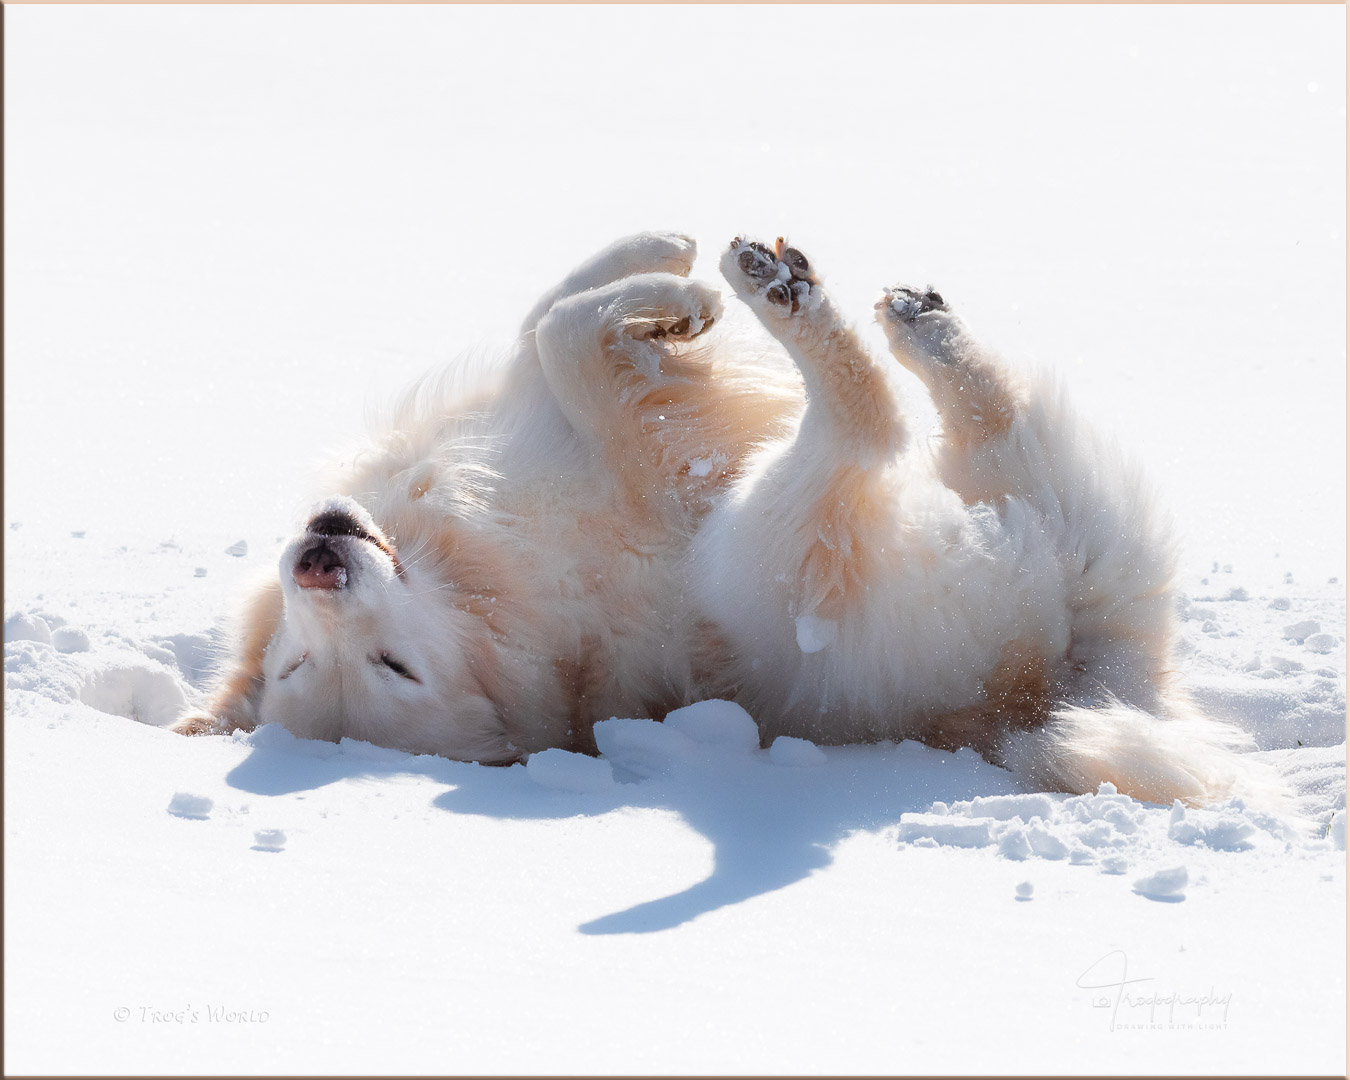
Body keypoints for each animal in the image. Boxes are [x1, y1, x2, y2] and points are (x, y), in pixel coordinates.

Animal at [174, 232, 1258, 804]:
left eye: (387, 666)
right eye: (317, 669)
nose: (318, 564)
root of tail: (1054, 685)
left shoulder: (524, 417)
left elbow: (554, 316)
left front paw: (657, 274)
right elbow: (568, 339)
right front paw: (681, 297)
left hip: (1061, 513)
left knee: (994, 422)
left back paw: (909, 318)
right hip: (761, 554)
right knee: (867, 430)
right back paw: (793, 303)